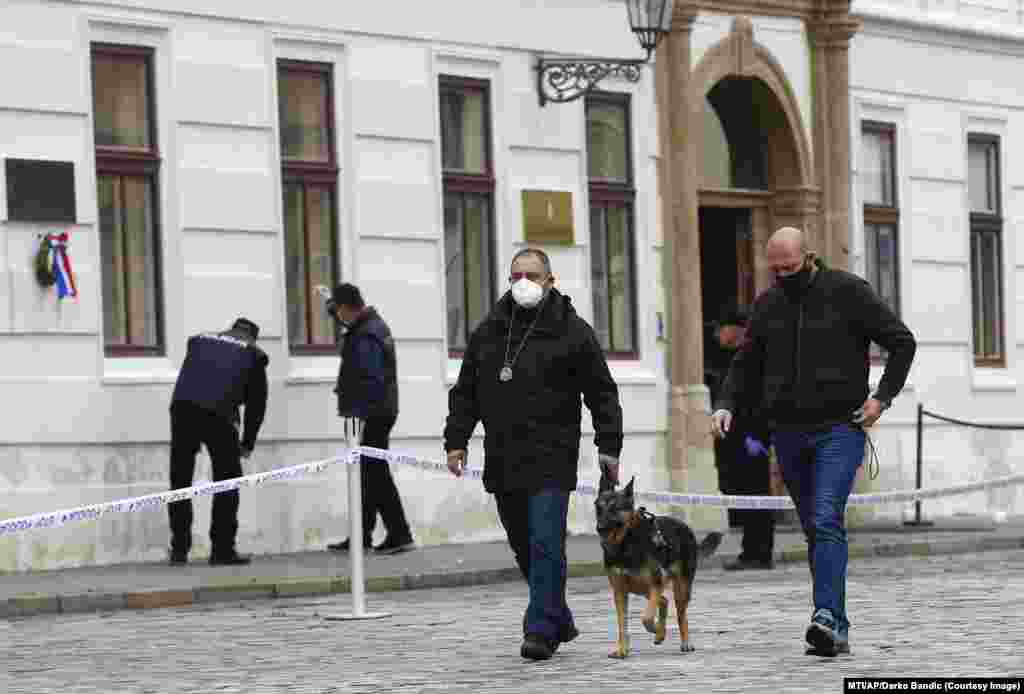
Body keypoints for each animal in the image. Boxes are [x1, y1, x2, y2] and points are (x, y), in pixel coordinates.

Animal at [593, 474, 720, 659]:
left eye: (615, 508)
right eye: (598, 508)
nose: (599, 528)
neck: (625, 542)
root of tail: (686, 528)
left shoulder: (655, 584)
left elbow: (646, 618)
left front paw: (657, 630)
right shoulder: (620, 592)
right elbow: (622, 624)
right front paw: (622, 649)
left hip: (678, 589)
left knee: (681, 614)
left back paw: (684, 642)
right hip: (643, 588)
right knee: (664, 601)